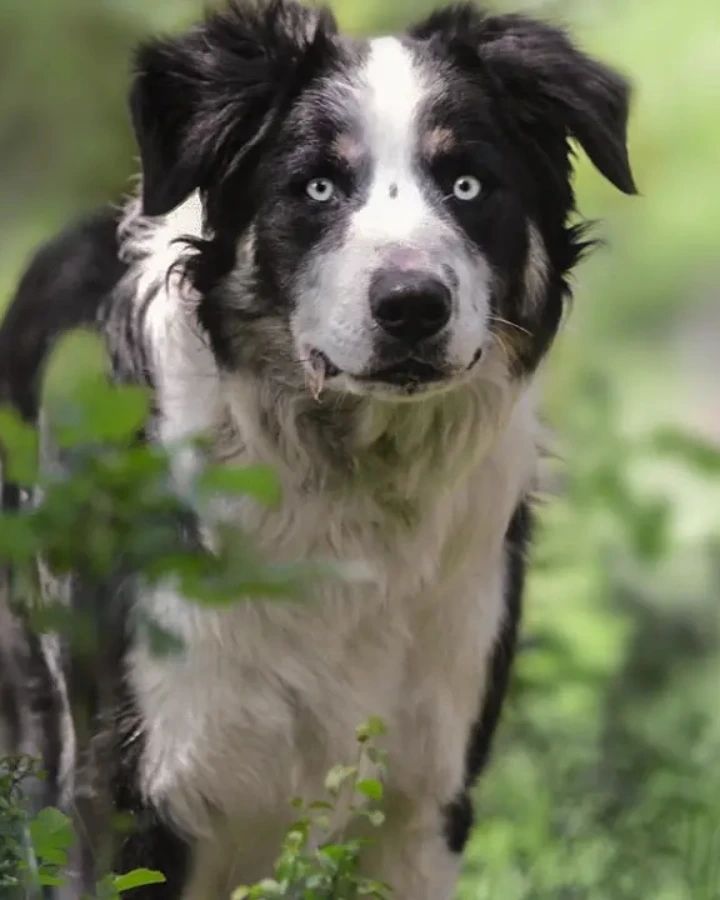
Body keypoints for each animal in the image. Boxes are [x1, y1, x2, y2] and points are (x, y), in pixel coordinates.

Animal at [0, 3, 632, 896]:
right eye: (318, 187)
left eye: (468, 185)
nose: (412, 305)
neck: (350, 487)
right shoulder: (129, 793)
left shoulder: (425, 799)